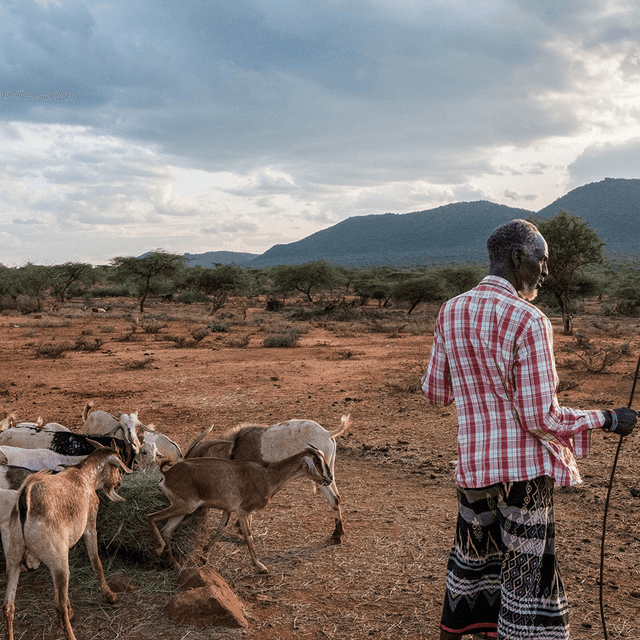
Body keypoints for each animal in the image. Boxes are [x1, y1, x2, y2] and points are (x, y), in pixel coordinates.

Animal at [2, 441, 131, 640]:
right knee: (57, 605)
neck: (85, 475)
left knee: (8, 606)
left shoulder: (66, 546)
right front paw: (110, 596)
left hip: (16, 555)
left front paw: (72, 610)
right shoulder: (89, 525)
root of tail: (25, 503)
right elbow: (96, 562)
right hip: (56, 559)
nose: (119, 483)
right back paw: (71, 634)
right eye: (117, 467)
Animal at [147, 446, 333, 574]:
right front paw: (260, 567)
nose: (328, 479)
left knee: (167, 530)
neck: (268, 476)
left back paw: (176, 565)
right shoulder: (243, 511)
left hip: (184, 509)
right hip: (184, 506)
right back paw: (158, 550)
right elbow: (249, 536)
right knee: (151, 516)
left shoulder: (228, 510)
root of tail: (167, 475)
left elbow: (219, 531)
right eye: (318, 461)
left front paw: (204, 556)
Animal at [185, 415, 351, 543]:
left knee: (333, 498)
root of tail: (328, 434)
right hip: (329, 471)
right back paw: (339, 532)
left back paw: (336, 536)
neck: (234, 447)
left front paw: (242, 527)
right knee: (337, 497)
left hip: (322, 476)